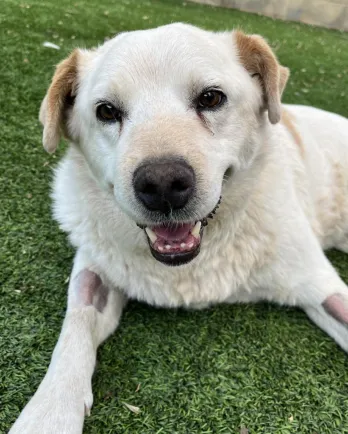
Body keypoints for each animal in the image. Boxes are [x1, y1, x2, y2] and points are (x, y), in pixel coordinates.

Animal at [9, 24, 348, 434]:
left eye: (211, 98)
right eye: (106, 111)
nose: (162, 185)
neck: (191, 267)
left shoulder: (320, 285)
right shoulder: (95, 268)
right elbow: (76, 321)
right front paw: (49, 410)